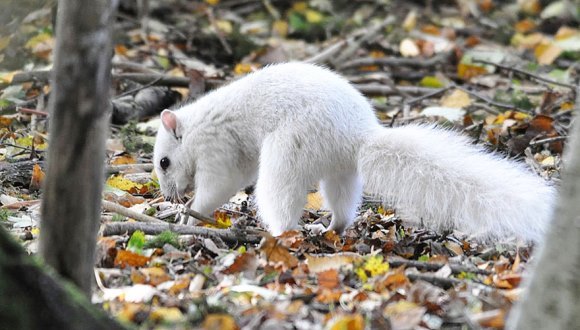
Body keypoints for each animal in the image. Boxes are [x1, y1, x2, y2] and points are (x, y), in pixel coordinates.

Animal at [154, 62, 556, 242]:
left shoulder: (217, 150)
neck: (196, 127)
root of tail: (356, 137)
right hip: (340, 171)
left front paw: (189, 214)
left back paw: (279, 232)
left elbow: (217, 188)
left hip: (289, 150)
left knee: (280, 197)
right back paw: (329, 226)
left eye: (164, 162)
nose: (169, 196)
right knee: (343, 205)